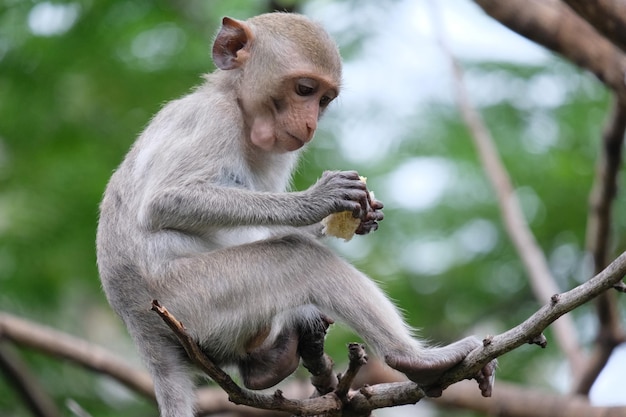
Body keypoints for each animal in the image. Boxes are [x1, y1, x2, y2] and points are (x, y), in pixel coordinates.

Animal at [96, 11, 492, 414]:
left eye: (325, 99)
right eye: (304, 90)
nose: (310, 124)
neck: (236, 103)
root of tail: (140, 328)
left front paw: (365, 216)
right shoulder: (212, 118)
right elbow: (166, 200)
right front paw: (318, 201)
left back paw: (269, 363)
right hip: (191, 297)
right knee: (301, 259)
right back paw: (414, 359)